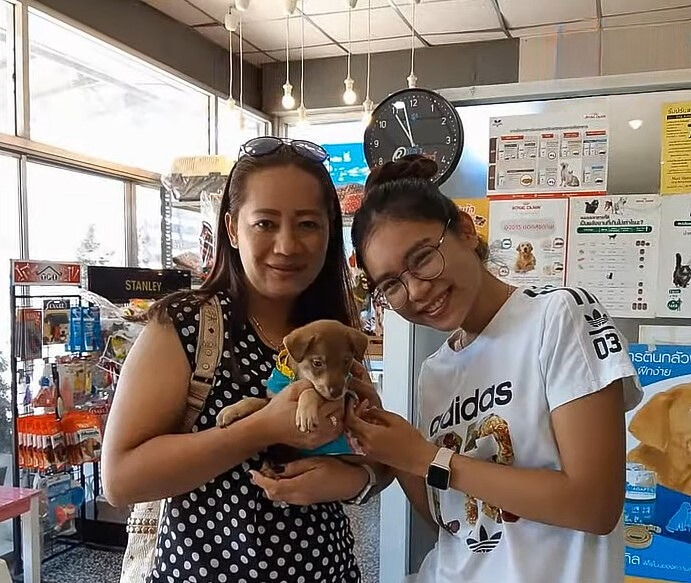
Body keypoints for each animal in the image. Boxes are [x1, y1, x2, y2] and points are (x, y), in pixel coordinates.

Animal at [216, 320, 370, 434]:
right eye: (317, 363)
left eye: (347, 361)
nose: (336, 393)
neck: (298, 376)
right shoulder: (272, 399)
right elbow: (253, 400)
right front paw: (231, 410)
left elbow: (311, 390)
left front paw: (306, 413)